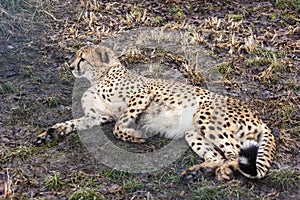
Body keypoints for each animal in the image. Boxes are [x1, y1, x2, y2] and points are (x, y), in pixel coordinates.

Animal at [37, 44, 276, 180]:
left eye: (82, 59)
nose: (70, 67)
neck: (99, 76)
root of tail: (257, 116)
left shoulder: (143, 92)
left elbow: (118, 126)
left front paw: (136, 135)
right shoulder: (99, 115)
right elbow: (75, 123)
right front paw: (51, 133)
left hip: (204, 115)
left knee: (234, 153)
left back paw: (222, 171)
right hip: (192, 132)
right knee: (218, 156)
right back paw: (198, 171)